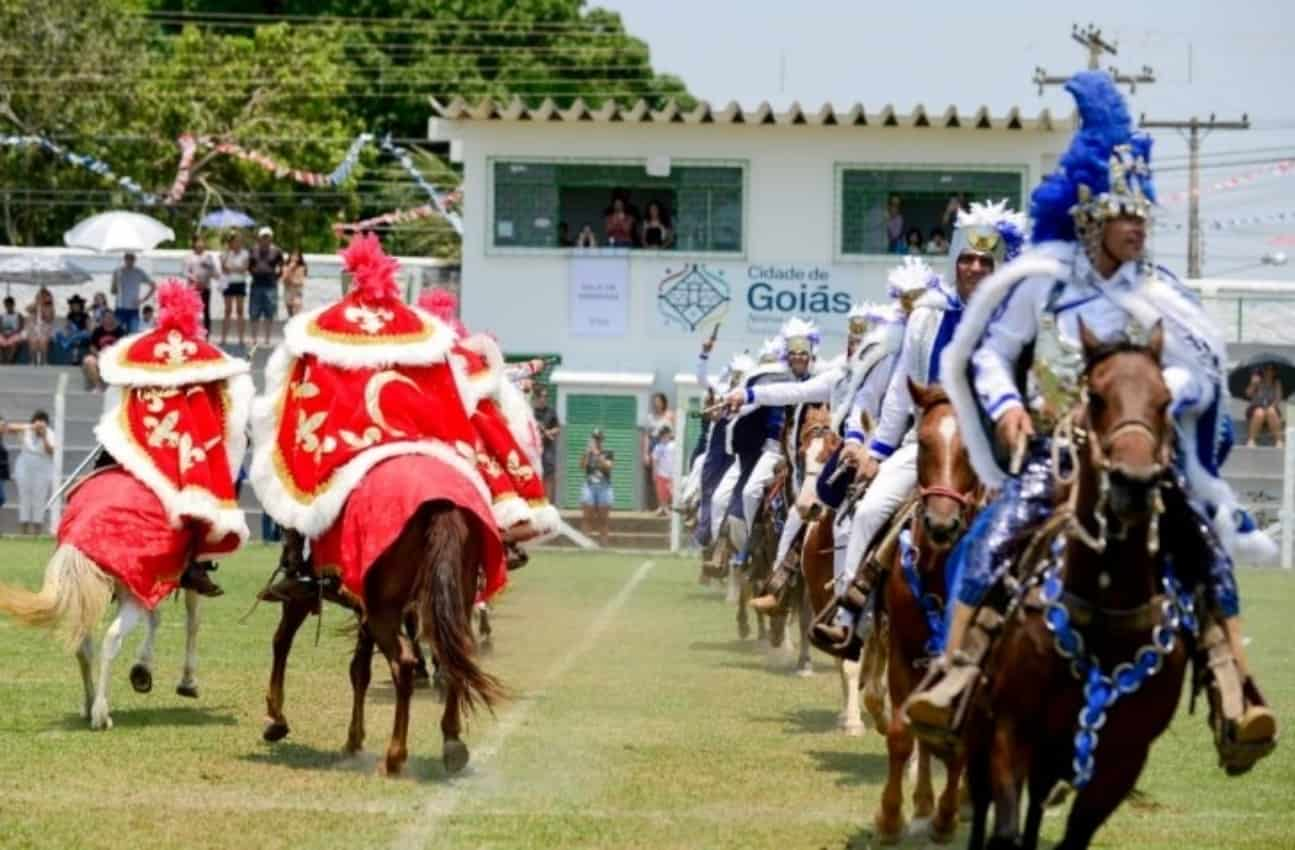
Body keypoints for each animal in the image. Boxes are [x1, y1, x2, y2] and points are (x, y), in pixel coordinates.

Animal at [262, 500, 499, 782]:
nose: (288, 558)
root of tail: (441, 510)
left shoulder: (305, 601)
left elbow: (281, 642)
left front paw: (276, 718)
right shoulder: (363, 613)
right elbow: (359, 671)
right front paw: (353, 740)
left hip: (383, 613)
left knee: (403, 663)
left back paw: (394, 757)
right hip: (452, 600)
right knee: (453, 658)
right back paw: (452, 742)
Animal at [968, 323, 1186, 850]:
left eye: (1165, 400)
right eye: (1098, 396)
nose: (1133, 483)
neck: (1105, 611)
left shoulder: (1123, 758)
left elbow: (1071, 835)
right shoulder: (1010, 729)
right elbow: (1003, 830)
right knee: (982, 803)